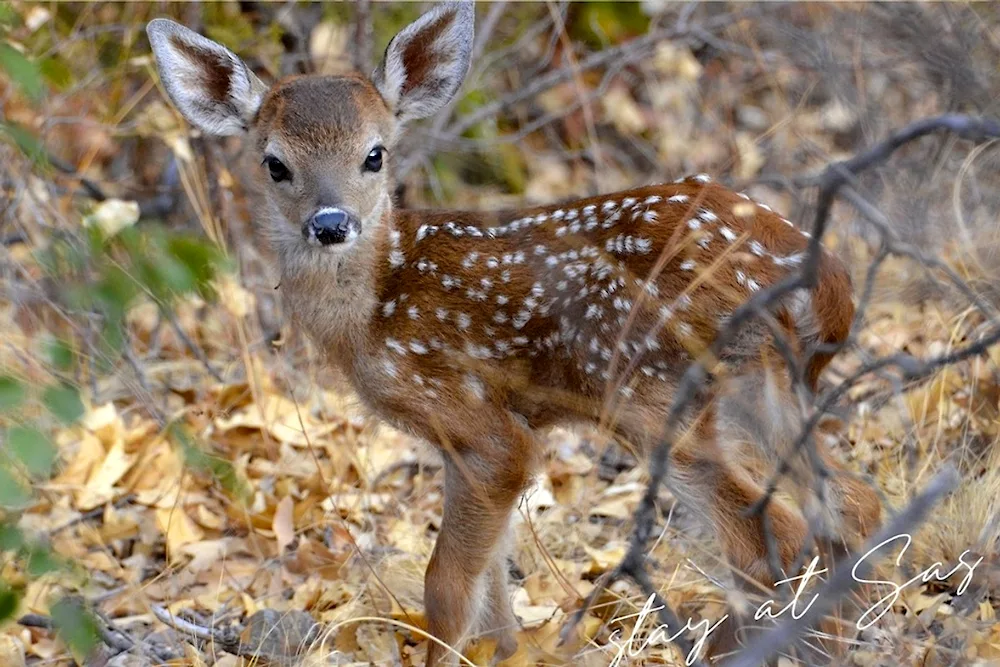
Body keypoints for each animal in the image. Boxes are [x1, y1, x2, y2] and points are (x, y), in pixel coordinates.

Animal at [145, 2, 880, 664]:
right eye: (274, 163)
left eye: (374, 155)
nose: (330, 223)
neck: (379, 305)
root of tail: (821, 276)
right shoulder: (469, 439)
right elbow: (493, 587)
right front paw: (505, 651)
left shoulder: (480, 421)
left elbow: (445, 587)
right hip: (767, 389)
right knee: (849, 503)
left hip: (653, 389)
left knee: (770, 533)